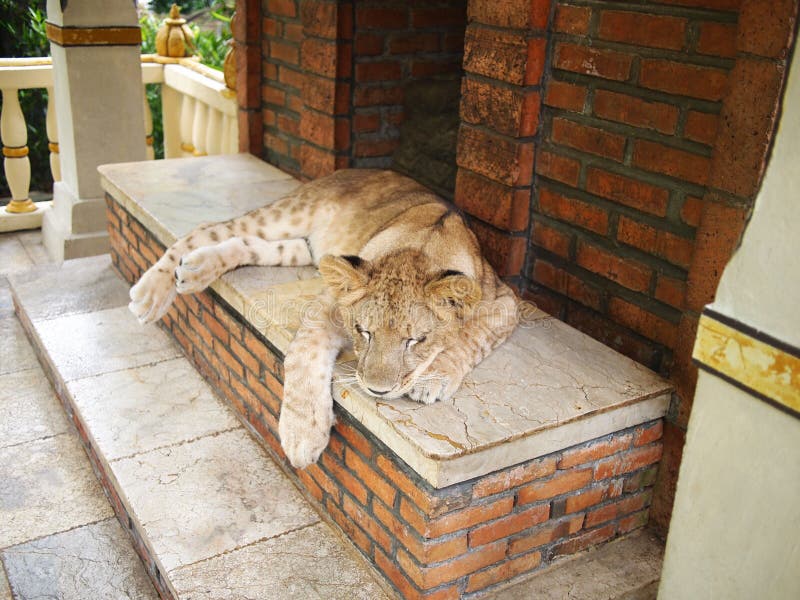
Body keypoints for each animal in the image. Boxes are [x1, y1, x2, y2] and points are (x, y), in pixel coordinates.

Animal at [130, 169, 520, 468]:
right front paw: (302, 435)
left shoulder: (507, 301)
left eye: (415, 340)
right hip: (287, 215)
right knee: (207, 229)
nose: (377, 391)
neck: (421, 247)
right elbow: (303, 357)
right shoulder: (331, 302)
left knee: (248, 244)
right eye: (363, 331)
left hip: (305, 248)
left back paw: (195, 268)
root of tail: (349, 170)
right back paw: (152, 293)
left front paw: (435, 377)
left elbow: (472, 338)